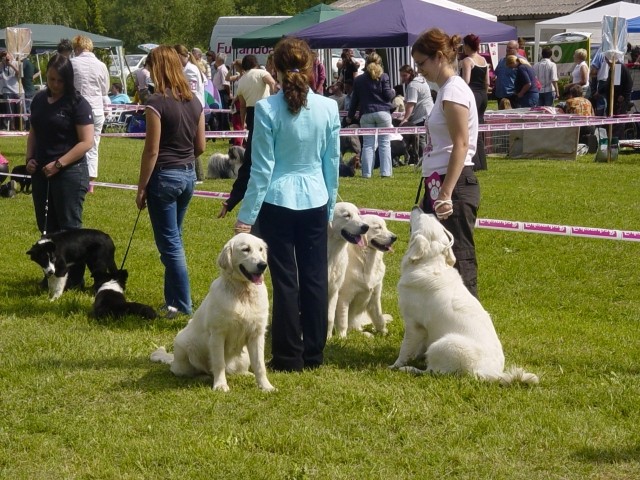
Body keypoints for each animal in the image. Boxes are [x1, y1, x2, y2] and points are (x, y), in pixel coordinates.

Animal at [152, 233, 278, 394]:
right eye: (245, 249)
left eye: (261, 249)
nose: (263, 265)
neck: (242, 293)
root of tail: (173, 359)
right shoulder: (218, 334)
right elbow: (218, 363)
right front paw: (220, 385)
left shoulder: (257, 334)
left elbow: (260, 365)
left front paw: (266, 386)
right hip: (182, 345)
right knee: (192, 371)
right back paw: (203, 377)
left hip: (244, 356)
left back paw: (246, 374)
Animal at [328, 202, 368, 338]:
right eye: (347, 215)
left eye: (358, 214)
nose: (365, 227)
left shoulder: (333, 291)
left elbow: (329, 318)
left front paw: (328, 338)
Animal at [390, 207, 540, 386]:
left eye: (422, 217)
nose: (417, 207)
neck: (430, 263)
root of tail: (488, 373)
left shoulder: (413, 324)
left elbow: (405, 349)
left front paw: (394, 365)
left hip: (443, 344)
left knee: (433, 372)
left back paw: (409, 369)